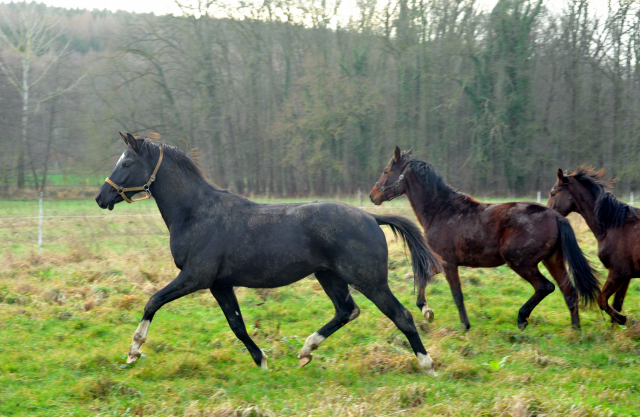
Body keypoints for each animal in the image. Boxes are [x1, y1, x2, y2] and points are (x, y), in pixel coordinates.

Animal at [95, 133, 442, 374]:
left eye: (127, 163)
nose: (102, 197)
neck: (196, 213)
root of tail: (371, 217)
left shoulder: (195, 277)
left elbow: (153, 301)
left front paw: (134, 350)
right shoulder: (219, 284)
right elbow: (237, 324)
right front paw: (261, 360)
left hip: (369, 281)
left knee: (401, 315)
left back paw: (428, 365)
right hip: (329, 276)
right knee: (347, 311)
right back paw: (306, 350)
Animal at [370, 148, 600, 330]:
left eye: (386, 171)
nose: (373, 196)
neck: (442, 210)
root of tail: (556, 216)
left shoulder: (449, 263)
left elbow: (457, 294)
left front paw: (464, 325)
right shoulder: (440, 261)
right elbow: (423, 277)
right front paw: (426, 310)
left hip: (521, 262)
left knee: (545, 287)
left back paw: (522, 318)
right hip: (553, 260)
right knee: (569, 291)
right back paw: (575, 330)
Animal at [548, 167, 636, 324]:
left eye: (553, 193)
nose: (545, 211)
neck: (614, 225)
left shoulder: (619, 272)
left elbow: (601, 300)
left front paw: (623, 319)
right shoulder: (626, 276)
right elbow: (616, 304)